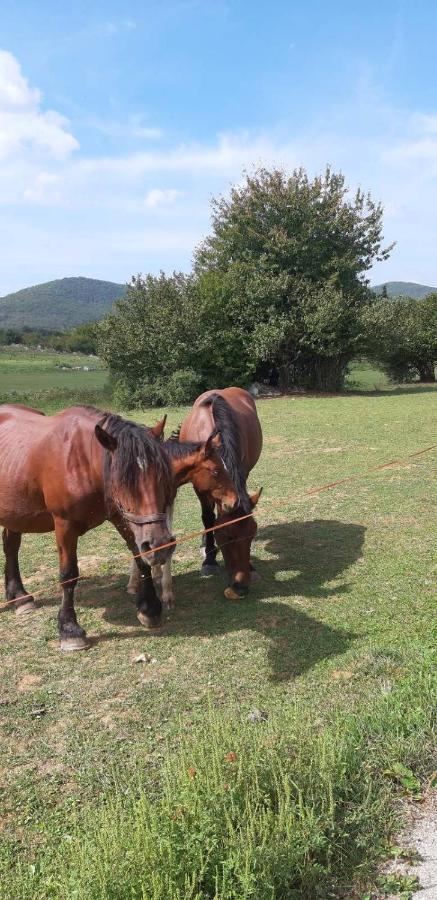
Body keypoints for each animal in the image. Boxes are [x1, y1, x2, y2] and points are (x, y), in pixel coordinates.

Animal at [0, 404, 175, 652]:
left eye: (162, 477)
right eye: (125, 483)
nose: (160, 545)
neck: (81, 461)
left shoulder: (121, 517)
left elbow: (141, 559)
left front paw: (149, 608)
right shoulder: (64, 525)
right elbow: (69, 574)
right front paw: (70, 630)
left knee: (11, 547)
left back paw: (19, 596)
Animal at [178, 386, 262, 596]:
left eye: (252, 534)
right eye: (228, 537)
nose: (242, 587)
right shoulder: (199, 487)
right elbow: (208, 519)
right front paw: (209, 560)